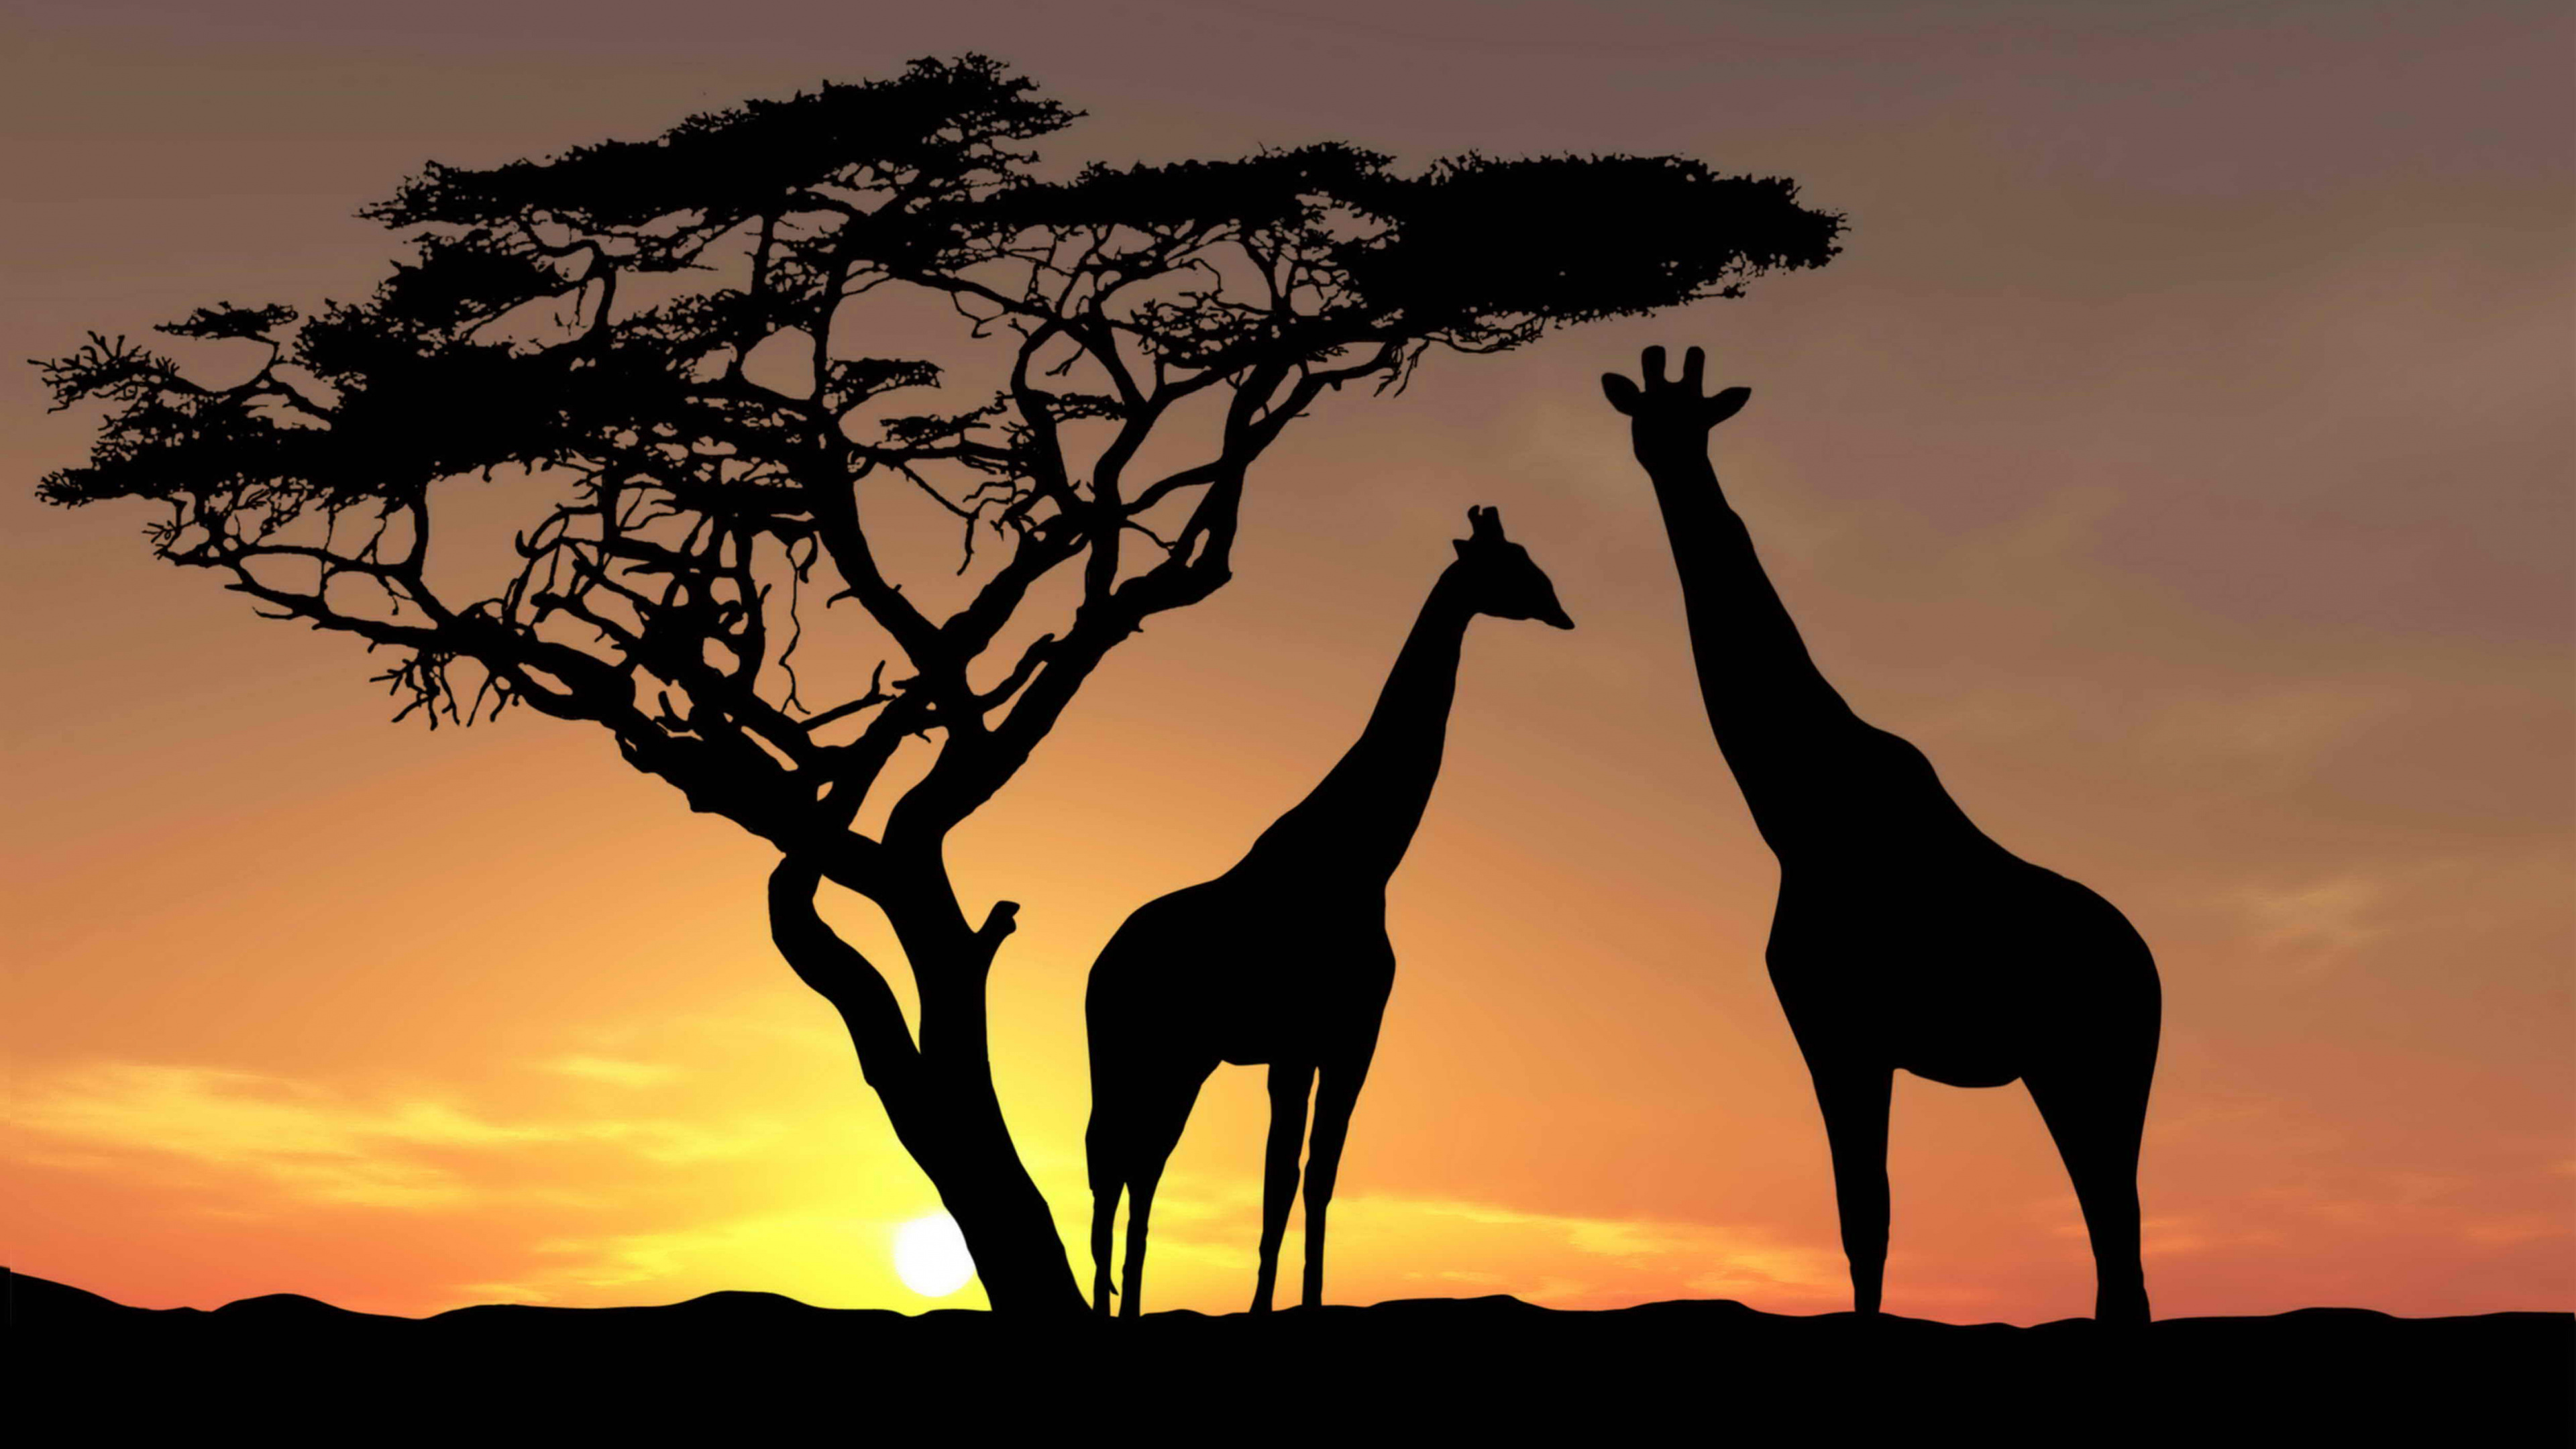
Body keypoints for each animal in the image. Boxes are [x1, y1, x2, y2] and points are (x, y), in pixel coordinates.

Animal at [1084, 506, 1575, 1318]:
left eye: (1533, 562)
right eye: (1511, 566)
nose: (1563, 612)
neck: (1364, 860)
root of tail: (1100, 964)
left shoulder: (1350, 1037)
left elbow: (1320, 1174)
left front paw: (1308, 1302)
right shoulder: (1297, 1040)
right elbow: (1280, 1174)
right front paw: (1261, 1308)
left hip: (1182, 1059)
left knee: (1137, 1160)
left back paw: (1124, 1301)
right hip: (1135, 1048)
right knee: (1114, 1156)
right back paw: (1110, 1304)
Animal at [1603, 345, 2160, 1324]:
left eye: (1698, 420)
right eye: (1645, 417)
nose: (1667, 461)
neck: (1797, 812)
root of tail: (2155, 976)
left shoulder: (1841, 1025)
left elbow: (1865, 1216)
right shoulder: (1841, 1030)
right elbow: (1864, 1218)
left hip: (2094, 1067)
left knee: (2117, 1241)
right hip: (2077, 1073)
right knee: (2116, 1249)